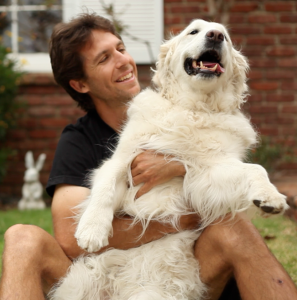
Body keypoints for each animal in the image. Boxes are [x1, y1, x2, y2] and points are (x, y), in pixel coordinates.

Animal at [49, 19, 288, 298]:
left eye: (226, 38)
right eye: (193, 31)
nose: (215, 36)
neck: (194, 108)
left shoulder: (207, 173)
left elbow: (256, 169)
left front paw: (270, 198)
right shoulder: (122, 160)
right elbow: (105, 190)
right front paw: (91, 230)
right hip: (80, 284)